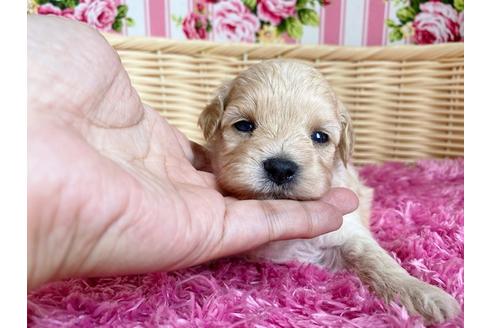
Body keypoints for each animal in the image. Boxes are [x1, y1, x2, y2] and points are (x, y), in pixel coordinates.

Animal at [197, 59, 462, 322]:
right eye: (244, 125)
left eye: (319, 137)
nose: (280, 168)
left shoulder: (348, 231)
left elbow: (375, 259)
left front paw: (422, 294)